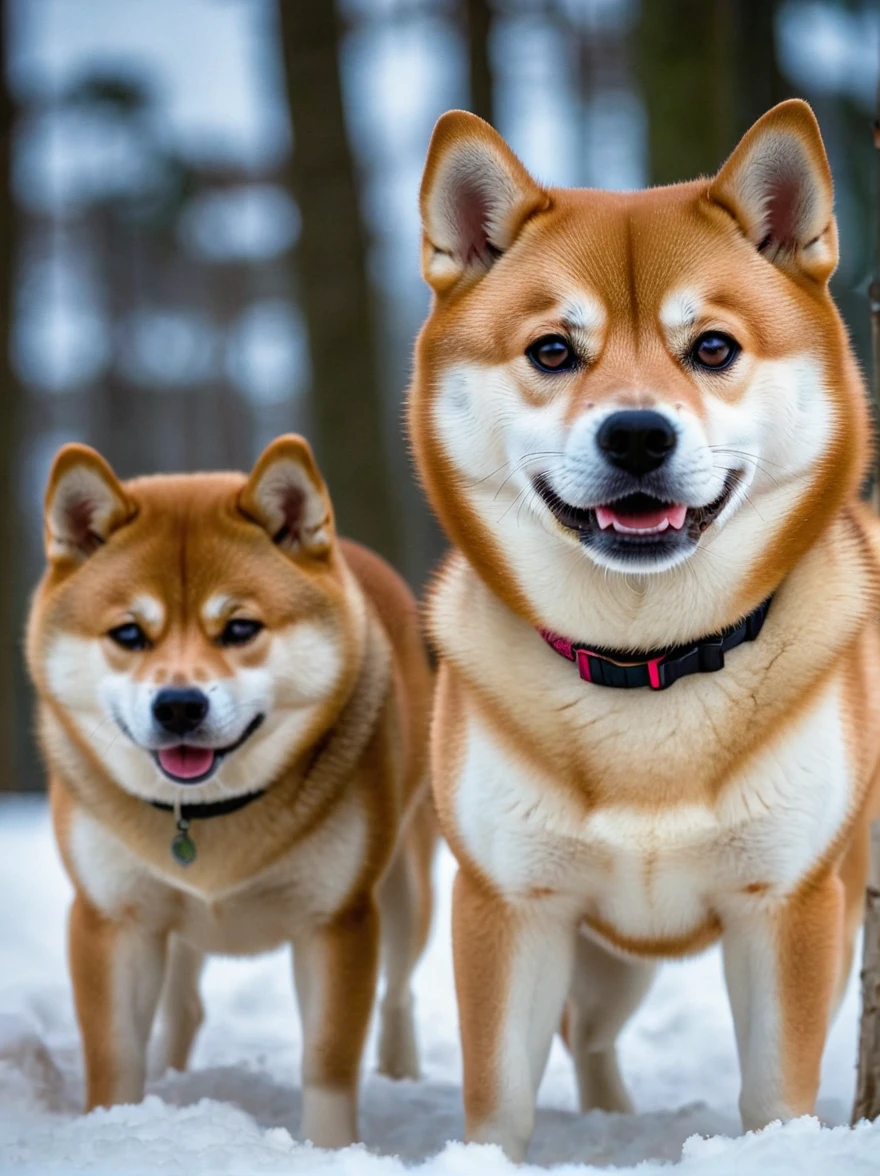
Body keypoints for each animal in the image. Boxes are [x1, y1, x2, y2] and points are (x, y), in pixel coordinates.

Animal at [25, 437, 437, 1143]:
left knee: (400, 990)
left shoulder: (336, 919)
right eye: (129, 633)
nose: (178, 706)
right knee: (185, 1006)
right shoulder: (113, 918)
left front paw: (328, 1148)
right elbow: (114, 1053)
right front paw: (116, 1126)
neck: (206, 816)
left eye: (240, 629)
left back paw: (402, 1069)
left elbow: (328, 1058)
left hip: (406, 888)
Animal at [411, 98, 880, 1157]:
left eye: (713, 347)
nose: (635, 434)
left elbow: (775, 1096)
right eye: (552, 350)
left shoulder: (788, 906)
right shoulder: (511, 904)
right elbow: (498, 1099)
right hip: (607, 952)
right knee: (591, 1034)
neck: (646, 662)